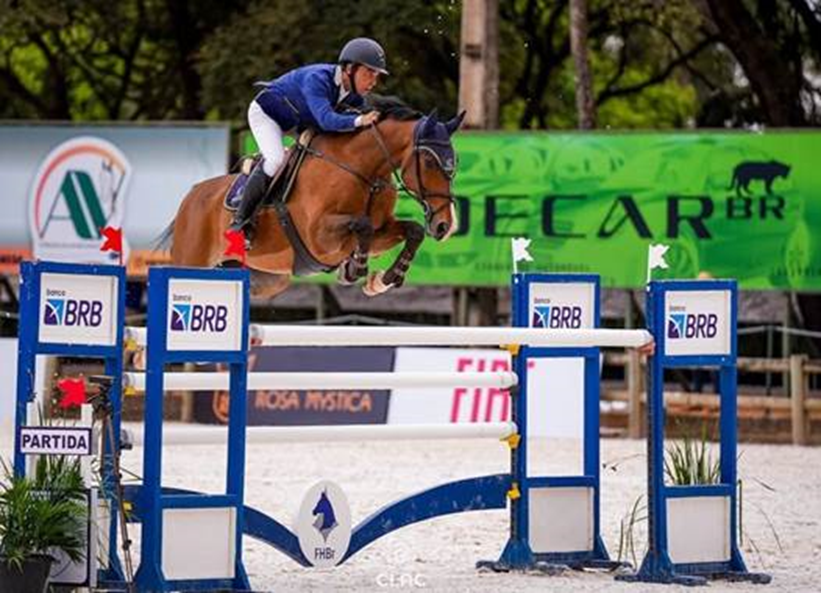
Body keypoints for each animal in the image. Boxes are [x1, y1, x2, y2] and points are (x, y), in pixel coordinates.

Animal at [164, 97, 465, 299]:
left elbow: (412, 231)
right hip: (191, 260)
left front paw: (383, 280)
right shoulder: (319, 237)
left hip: (266, 279)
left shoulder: (382, 231)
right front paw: (355, 268)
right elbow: (362, 225)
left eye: (456, 161)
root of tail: (192, 194)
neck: (365, 171)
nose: (445, 226)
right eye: (429, 161)